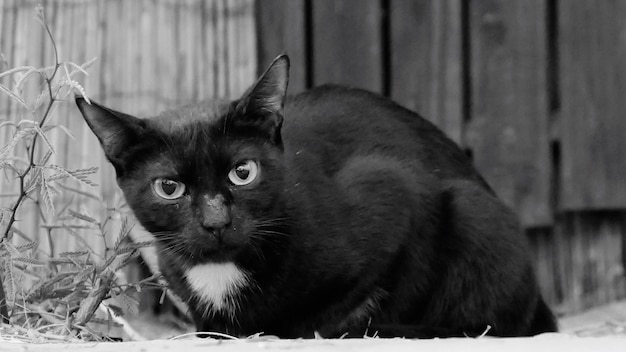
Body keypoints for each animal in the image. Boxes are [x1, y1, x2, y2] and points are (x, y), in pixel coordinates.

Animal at [74, 55, 556, 338]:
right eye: (169, 187)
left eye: (243, 172)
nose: (215, 222)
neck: (221, 271)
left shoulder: (393, 190)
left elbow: (339, 306)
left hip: (475, 213)